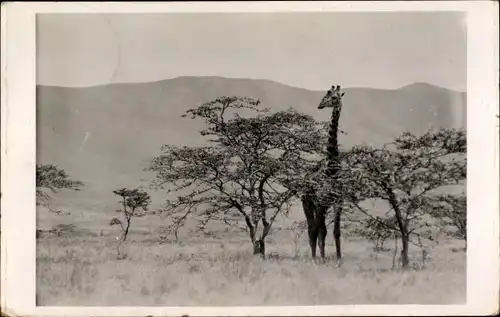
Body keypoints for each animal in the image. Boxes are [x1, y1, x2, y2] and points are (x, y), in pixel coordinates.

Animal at [298, 83, 346, 260]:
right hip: (307, 203)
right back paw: (314, 257)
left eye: (335, 97)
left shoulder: (338, 202)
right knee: (312, 230)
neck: (331, 168)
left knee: (317, 229)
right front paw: (323, 259)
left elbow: (336, 232)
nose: (320, 105)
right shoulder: (320, 202)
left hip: (320, 207)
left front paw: (339, 259)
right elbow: (321, 231)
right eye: (325, 96)